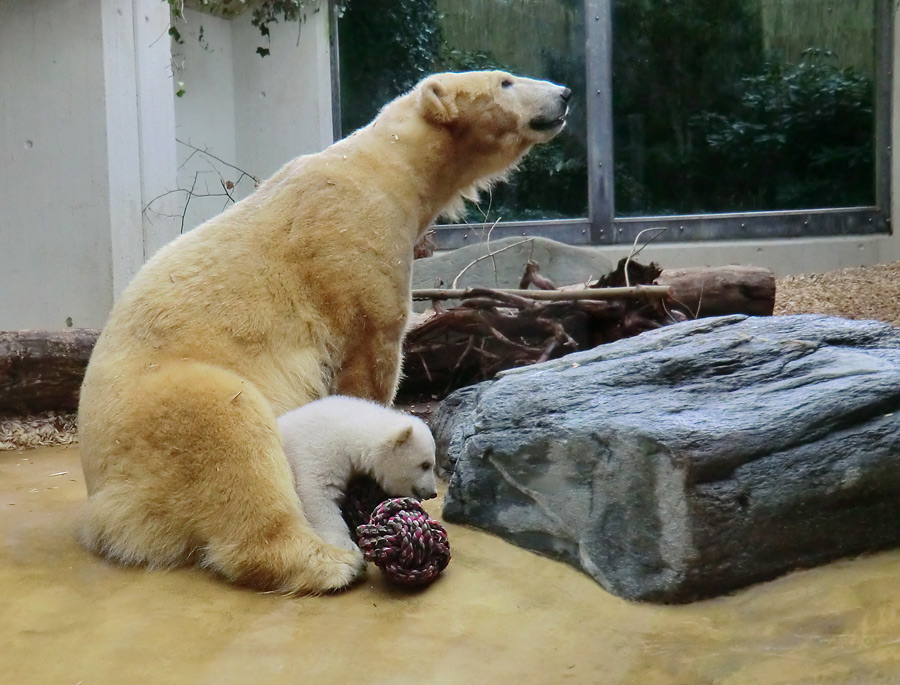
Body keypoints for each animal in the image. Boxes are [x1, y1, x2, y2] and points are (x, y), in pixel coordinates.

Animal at [79, 71, 568, 592]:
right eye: (506, 82)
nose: (564, 94)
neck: (388, 167)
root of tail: (106, 507)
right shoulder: (352, 242)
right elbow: (371, 354)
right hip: (157, 416)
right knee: (231, 428)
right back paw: (327, 561)